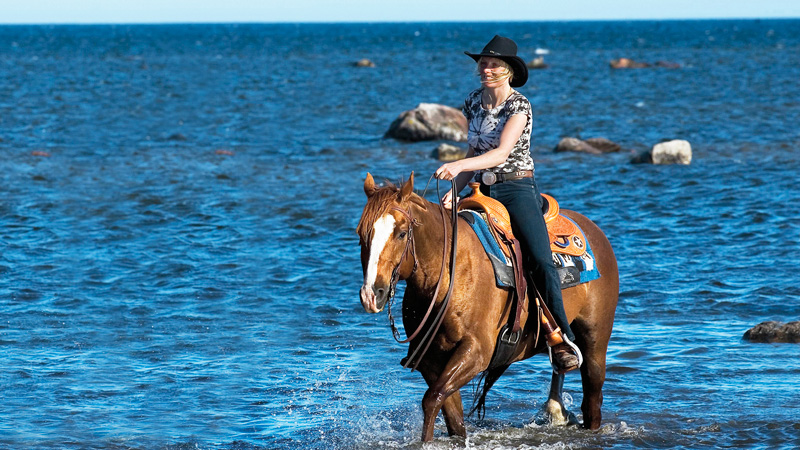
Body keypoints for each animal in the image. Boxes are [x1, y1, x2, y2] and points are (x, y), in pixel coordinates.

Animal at [356, 172, 620, 442]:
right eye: (361, 234)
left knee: (592, 401)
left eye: (401, 233)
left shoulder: (477, 351)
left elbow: (432, 399)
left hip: (595, 341)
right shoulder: (432, 361)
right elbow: (449, 412)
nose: (371, 295)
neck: (452, 272)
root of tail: (594, 231)